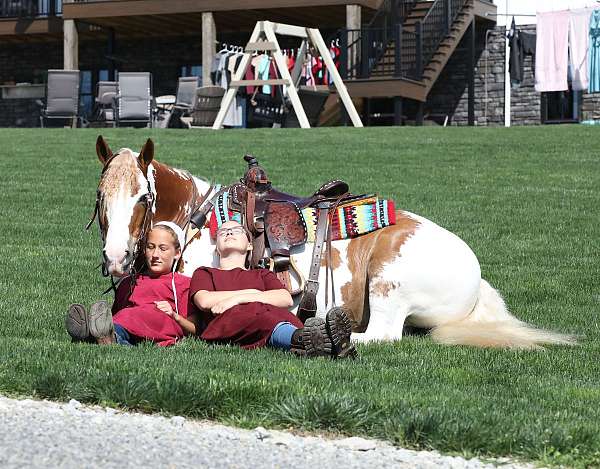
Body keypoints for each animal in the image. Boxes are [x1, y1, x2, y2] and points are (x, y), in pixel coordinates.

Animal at [91, 135, 576, 348]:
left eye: (142, 197)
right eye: (100, 196)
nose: (115, 257)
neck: (200, 219)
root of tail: (476, 279)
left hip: (388, 285)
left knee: (382, 335)